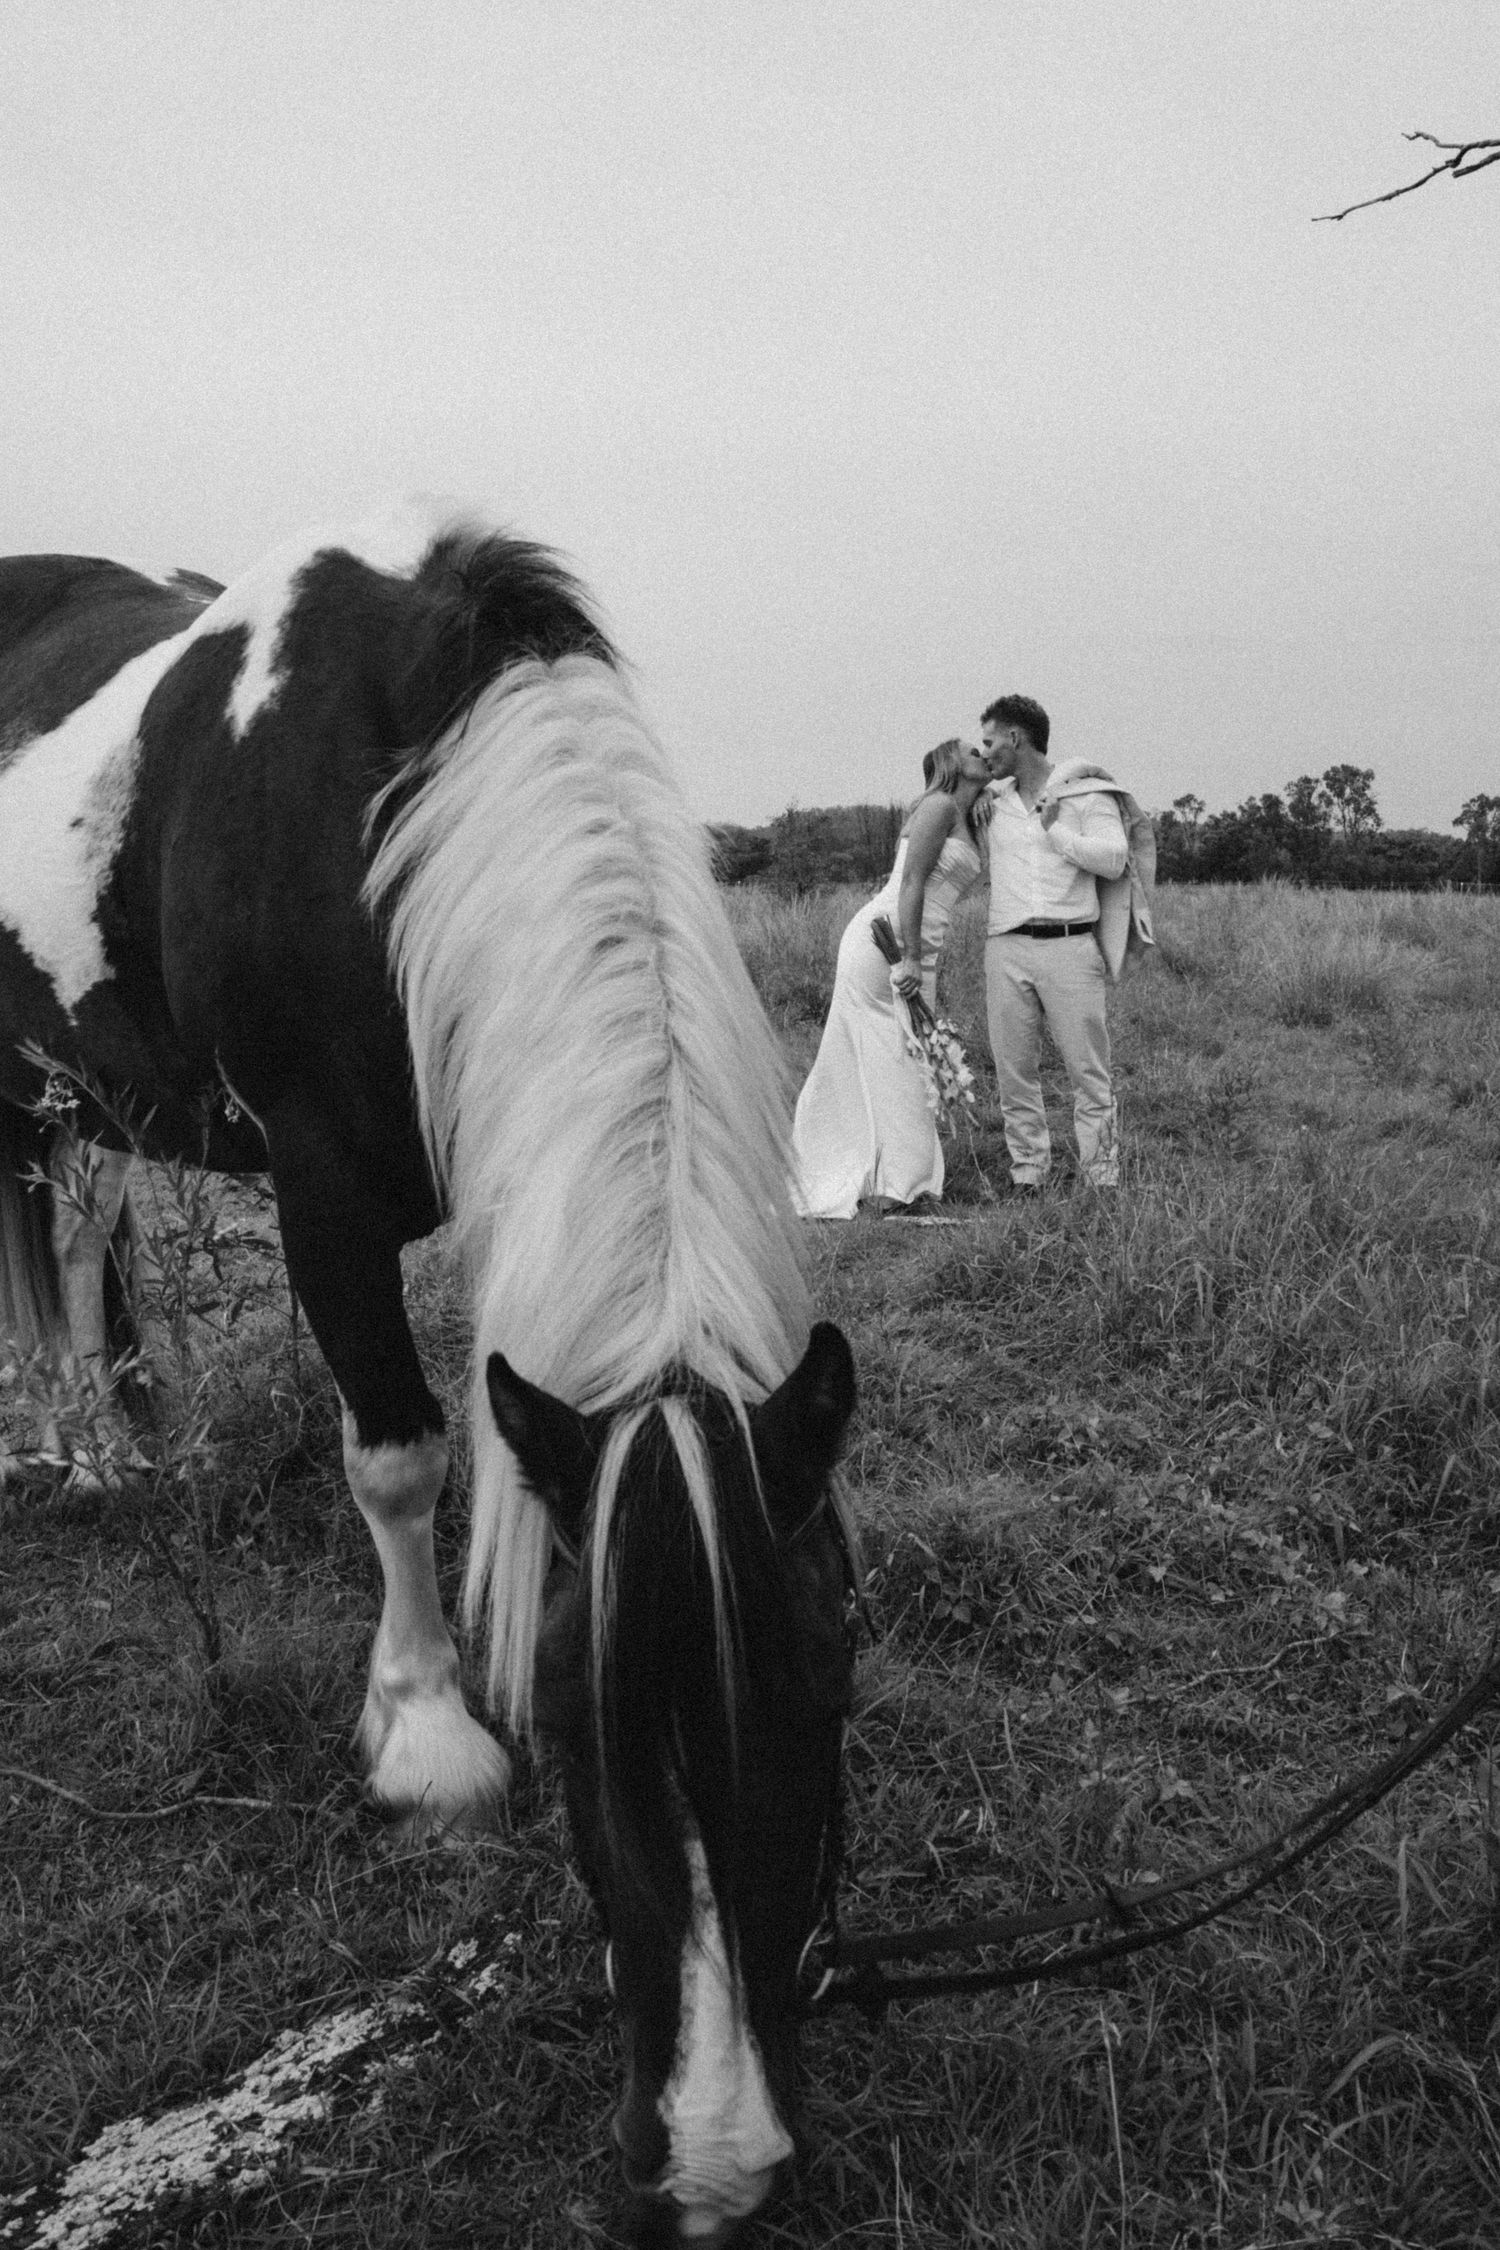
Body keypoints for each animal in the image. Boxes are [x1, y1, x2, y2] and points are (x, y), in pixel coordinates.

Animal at [0, 503, 858, 2245]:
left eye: (827, 1686)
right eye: (577, 1730)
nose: (714, 2167)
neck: (377, 776)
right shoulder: (322, 1194)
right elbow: (399, 1455)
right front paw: (424, 1736)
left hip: (73, 1094)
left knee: (66, 1230)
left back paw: (96, 1457)